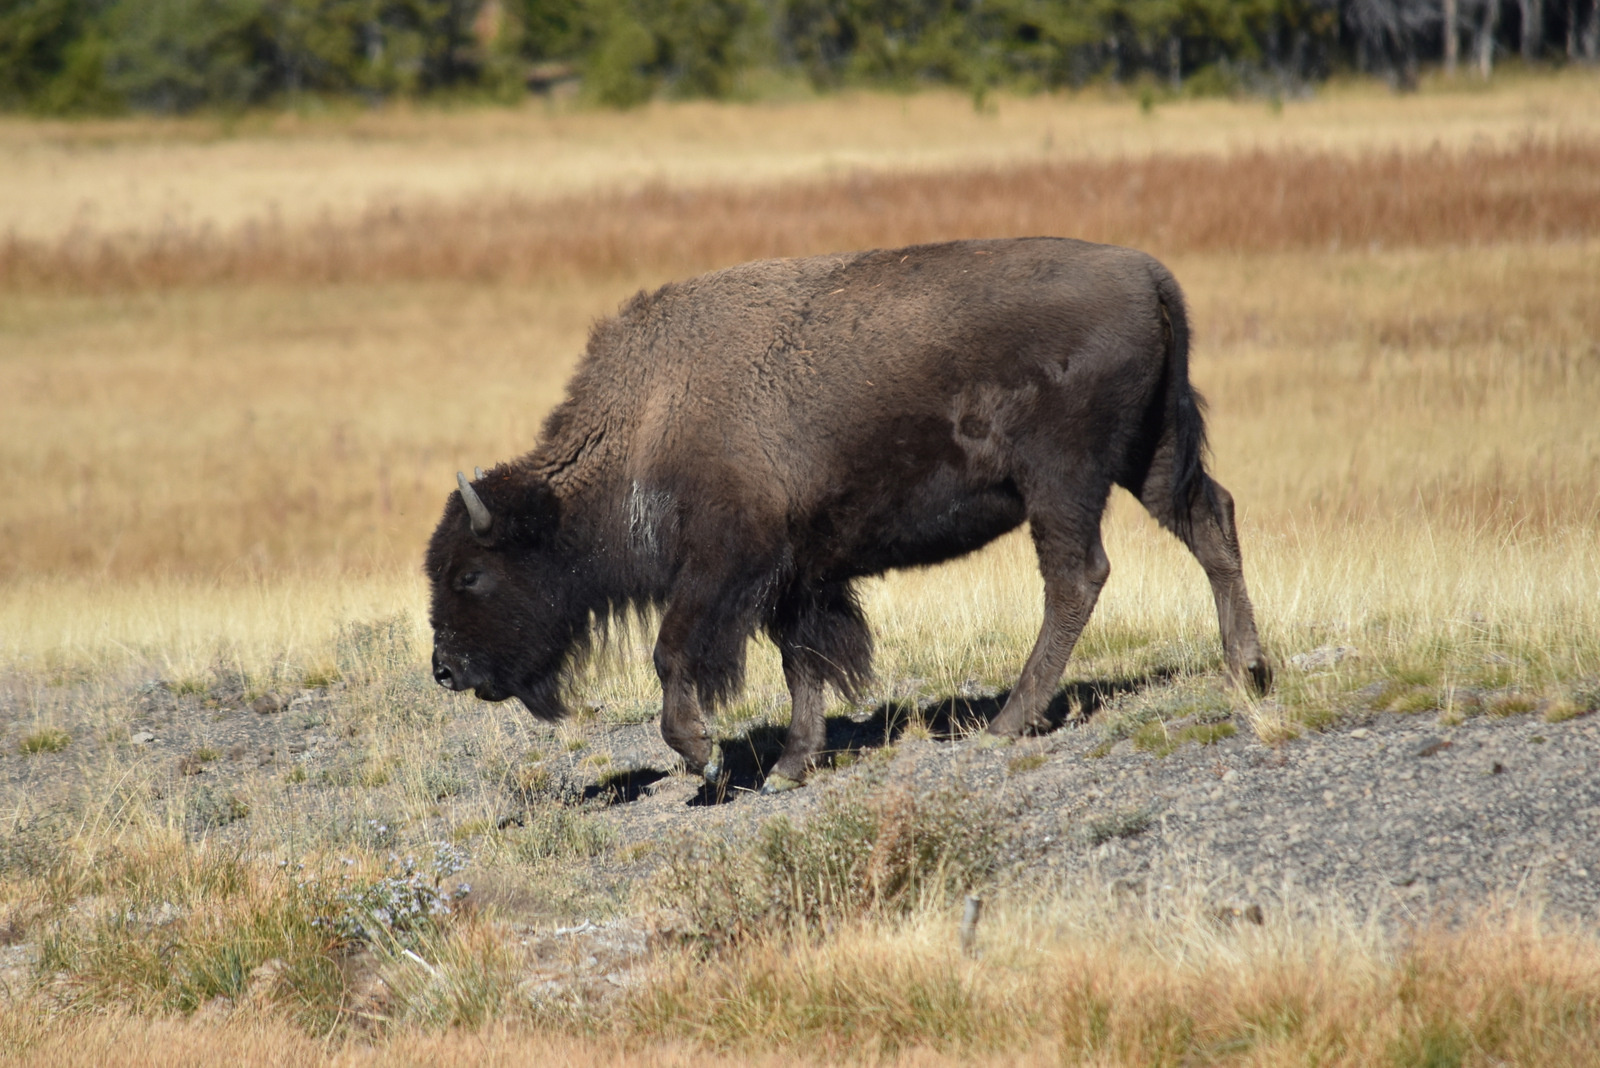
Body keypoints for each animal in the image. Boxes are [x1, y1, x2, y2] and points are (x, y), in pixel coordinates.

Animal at [428, 239, 1273, 793]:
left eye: (471, 575)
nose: (445, 670)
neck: (651, 414)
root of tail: (1148, 274)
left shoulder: (725, 566)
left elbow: (676, 654)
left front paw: (704, 756)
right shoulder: (798, 578)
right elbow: (803, 665)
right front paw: (792, 766)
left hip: (1063, 480)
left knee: (1076, 577)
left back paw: (1009, 720)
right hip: (1149, 458)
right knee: (1211, 522)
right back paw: (1248, 669)